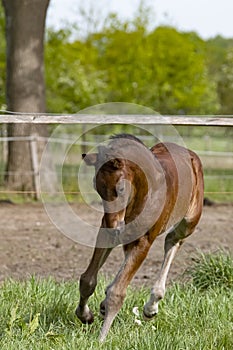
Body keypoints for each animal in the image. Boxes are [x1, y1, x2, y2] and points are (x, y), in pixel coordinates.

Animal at [75, 134, 203, 342]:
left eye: (120, 188)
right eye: (97, 188)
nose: (114, 228)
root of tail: (189, 153)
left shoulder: (144, 241)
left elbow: (117, 292)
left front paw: (101, 339)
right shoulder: (105, 230)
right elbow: (88, 280)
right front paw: (85, 315)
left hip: (189, 222)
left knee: (173, 241)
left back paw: (151, 307)